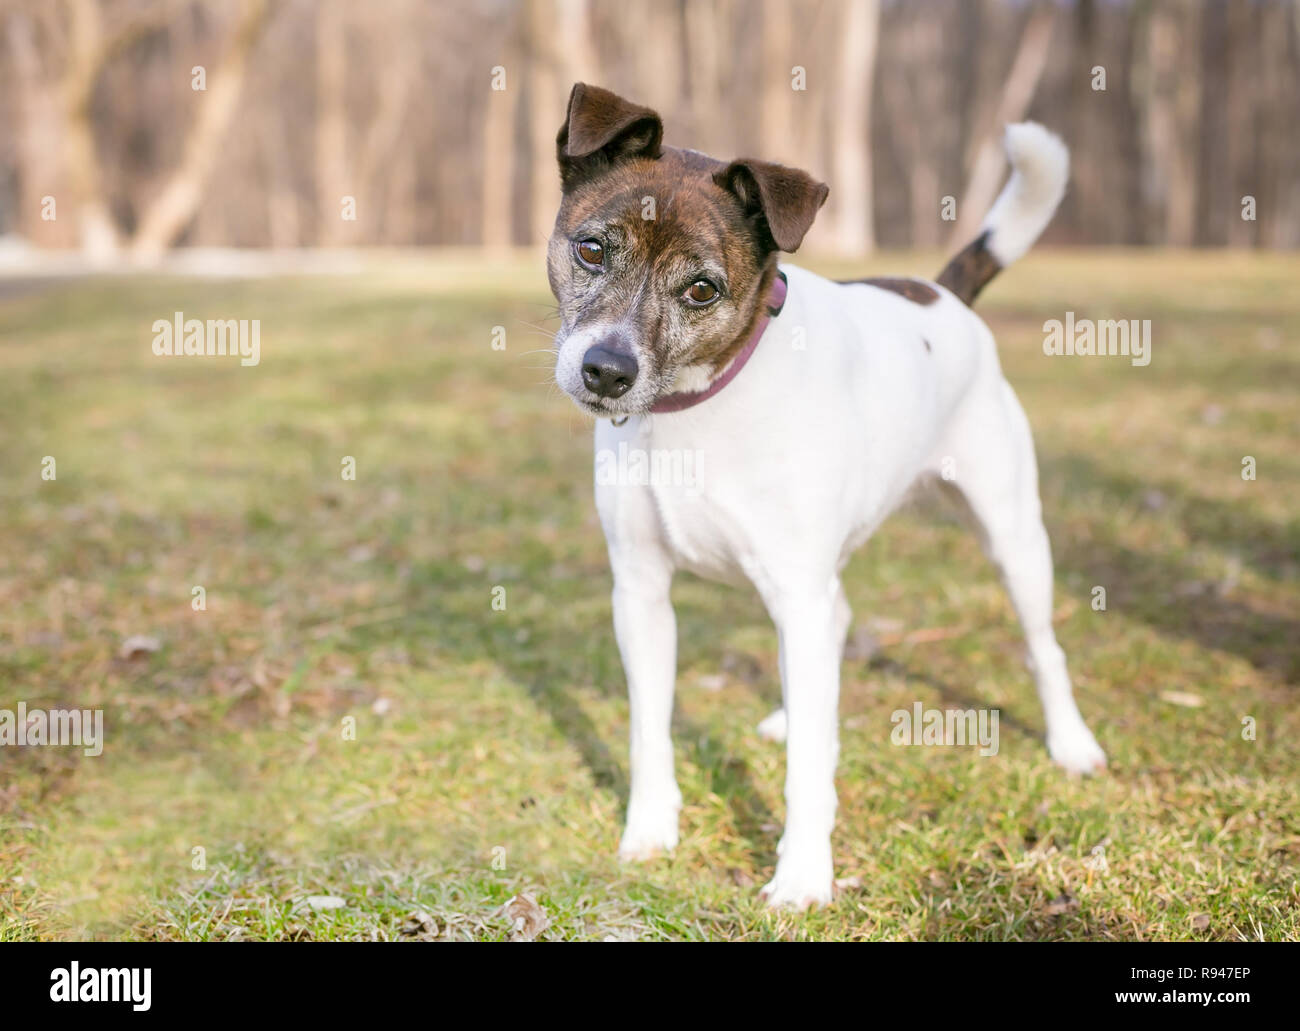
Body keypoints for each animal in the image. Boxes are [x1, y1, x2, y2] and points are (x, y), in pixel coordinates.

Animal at [543, 88, 1102, 910]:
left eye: (702, 288)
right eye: (591, 249)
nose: (607, 371)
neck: (697, 406)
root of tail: (944, 293)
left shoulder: (794, 592)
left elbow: (807, 768)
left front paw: (803, 874)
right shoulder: (641, 592)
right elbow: (650, 730)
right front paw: (650, 832)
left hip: (1011, 534)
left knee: (1043, 646)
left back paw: (1071, 743)